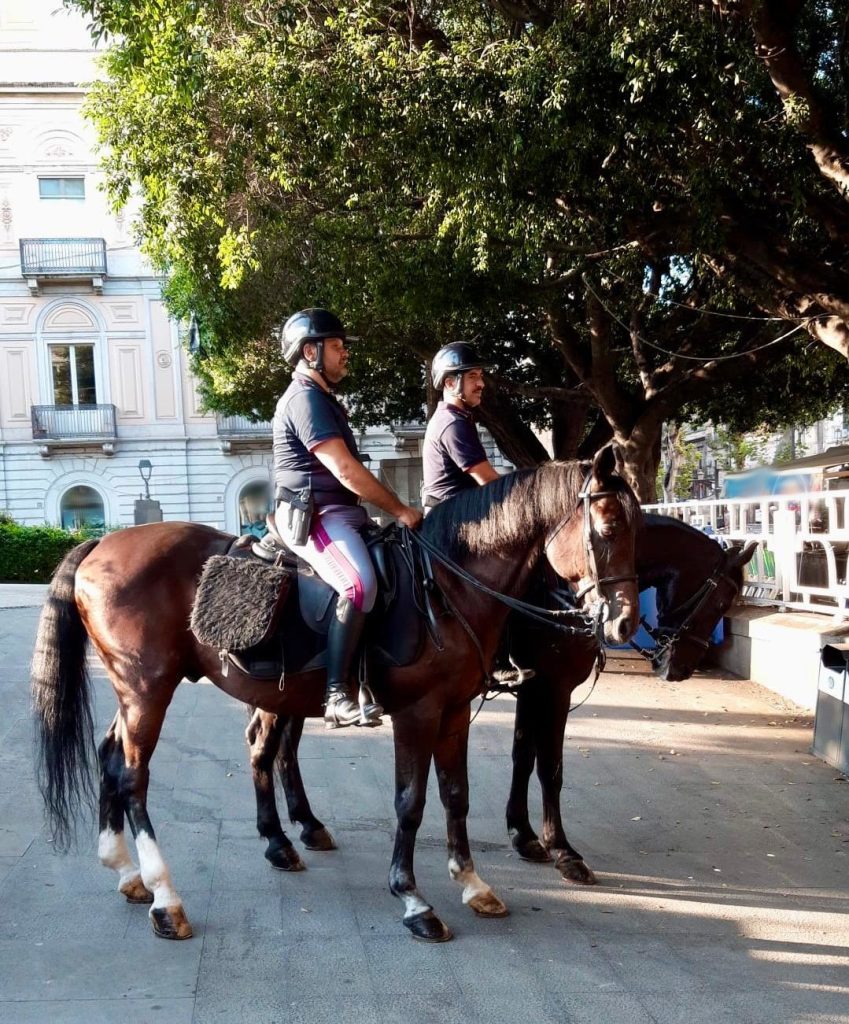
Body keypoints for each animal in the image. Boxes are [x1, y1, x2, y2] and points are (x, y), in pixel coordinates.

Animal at [31, 448, 643, 942]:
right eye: (609, 525)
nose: (623, 621)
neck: (449, 584)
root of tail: (99, 545)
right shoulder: (424, 712)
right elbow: (414, 801)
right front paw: (415, 900)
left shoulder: (455, 712)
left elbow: (457, 795)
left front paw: (473, 882)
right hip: (148, 689)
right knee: (136, 776)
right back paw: (166, 897)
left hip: (138, 691)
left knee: (118, 756)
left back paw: (131, 870)